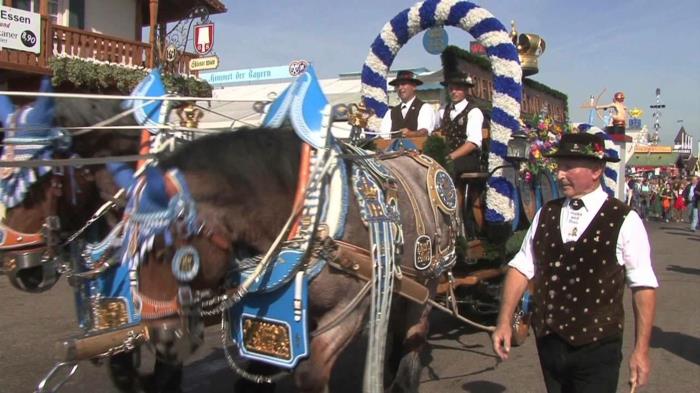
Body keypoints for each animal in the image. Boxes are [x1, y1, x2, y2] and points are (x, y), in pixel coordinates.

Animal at [135, 127, 464, 390]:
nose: (162, 339)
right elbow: (255, 371)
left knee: (415, 332)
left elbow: (310, 373)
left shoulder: (351, 308)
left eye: (173, 254)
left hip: (429, 278)